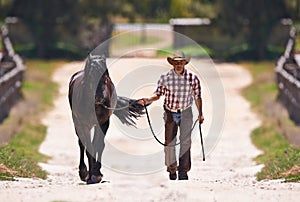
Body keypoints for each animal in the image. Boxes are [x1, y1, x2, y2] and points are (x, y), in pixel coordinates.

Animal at [68, 52, 144, 184]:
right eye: (91, 76)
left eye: (105, 77)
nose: (100, 98)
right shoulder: (84, 125)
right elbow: (88, 146)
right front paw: (90, 175)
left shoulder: (103, 123)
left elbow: (98, 145)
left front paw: (96, 174)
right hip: (77, 123)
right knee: (82, 144)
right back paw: (84, 173)